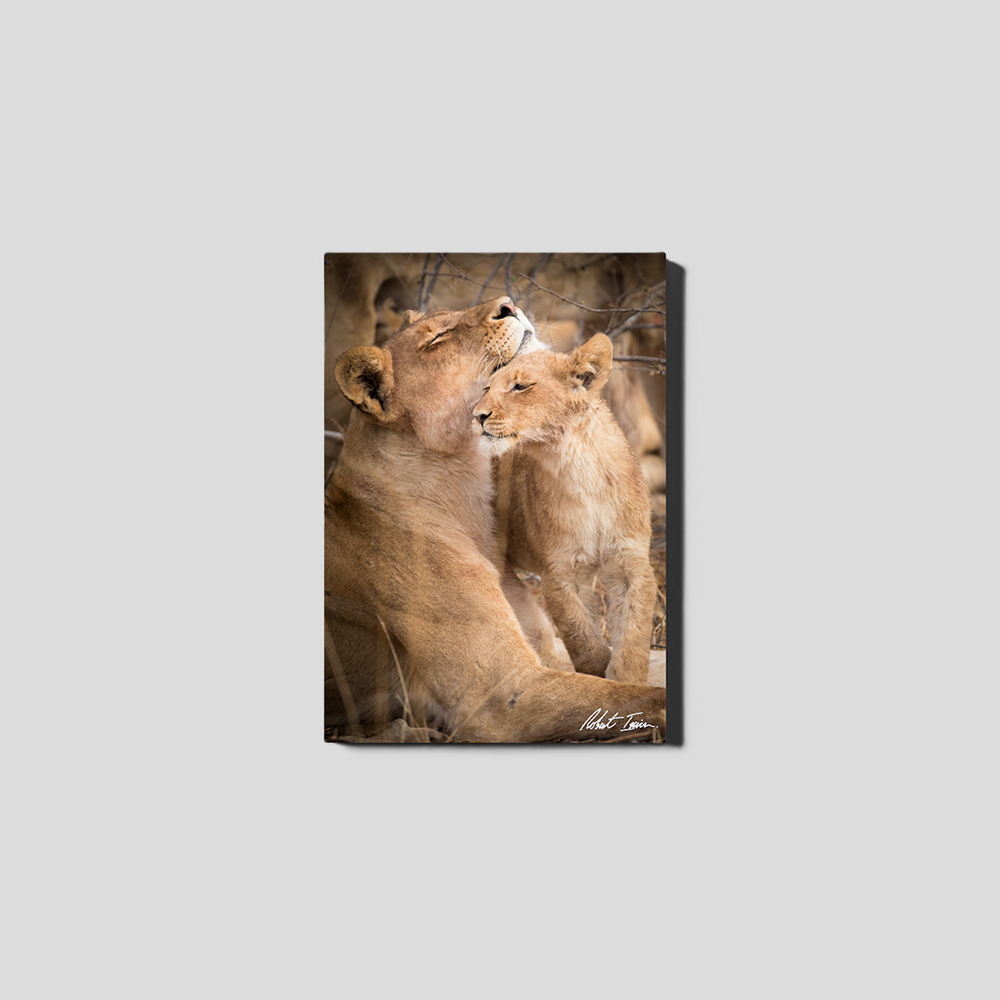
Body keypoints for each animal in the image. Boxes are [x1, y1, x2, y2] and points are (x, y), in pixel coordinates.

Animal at [473, 334, 658, 686]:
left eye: (520, 387)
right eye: (488, 388)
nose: (476, 415)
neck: (576, 465)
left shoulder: (631, 562)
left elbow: (633, 635)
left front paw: (626, 682)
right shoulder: (560, 573)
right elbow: (583, 640)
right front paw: (599, 678)